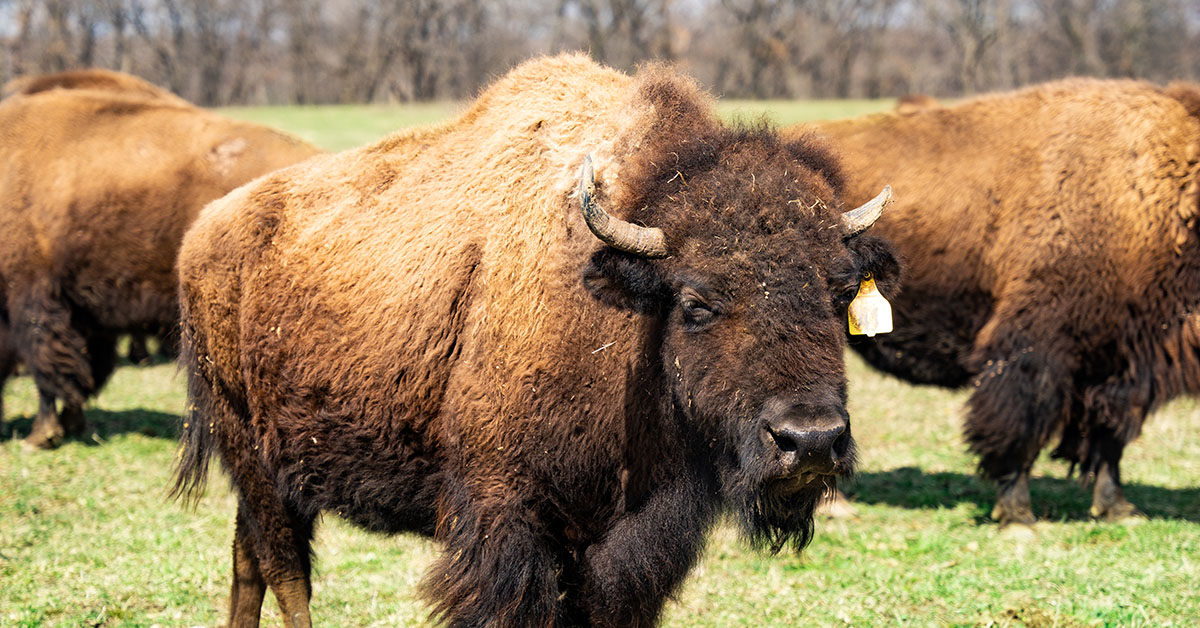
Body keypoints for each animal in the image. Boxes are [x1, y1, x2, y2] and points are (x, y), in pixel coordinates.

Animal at [171, 55, 902, 628]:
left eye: (838, 292)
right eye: (697, 302)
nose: (811, 441)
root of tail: (203, 233)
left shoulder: (630, 548)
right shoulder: (507, 526)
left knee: (248, 562)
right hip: (254, 456)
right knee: (285, 572)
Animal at [796, 79, 1200, 530]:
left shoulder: (1122, 362)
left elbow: (1109, 438)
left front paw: (1119, 510)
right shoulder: (1034, 348)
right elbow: (1019, 429)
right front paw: (1018, 516)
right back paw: (835, 505)